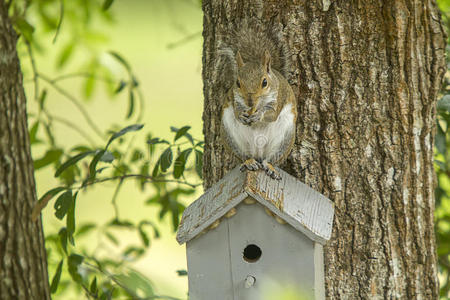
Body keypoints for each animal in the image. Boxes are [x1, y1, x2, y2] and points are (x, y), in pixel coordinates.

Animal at [220, 23, 298, 180]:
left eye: (264, 82)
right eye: (237, 83)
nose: (250, 102)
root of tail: (258, 152)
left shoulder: (278, 98)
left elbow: (272, 115)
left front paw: (258, 115)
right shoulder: (235, 98)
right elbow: (237, 111)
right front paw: (242, 115)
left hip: (285, 140)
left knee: (271, 159)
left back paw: (270, 167)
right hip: (231, 137)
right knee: (243, 157)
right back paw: (249, 162)